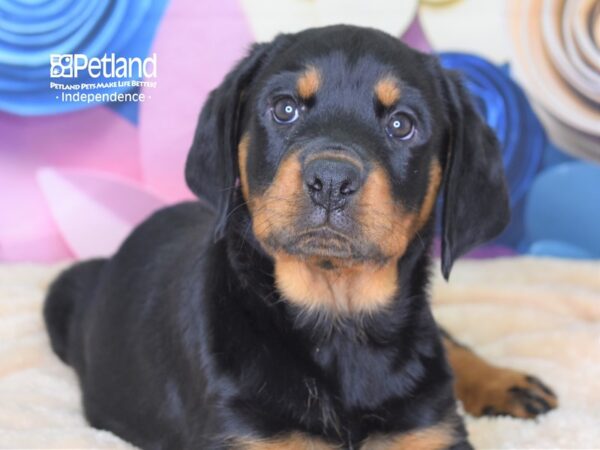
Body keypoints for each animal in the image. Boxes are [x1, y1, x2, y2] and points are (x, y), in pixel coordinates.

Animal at [44, 25, 556, 450]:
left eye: (402, 124)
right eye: (285, 109)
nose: (331, 179)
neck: (339, 320)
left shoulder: (430, 432)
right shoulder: (247, 436)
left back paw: (506, 382)